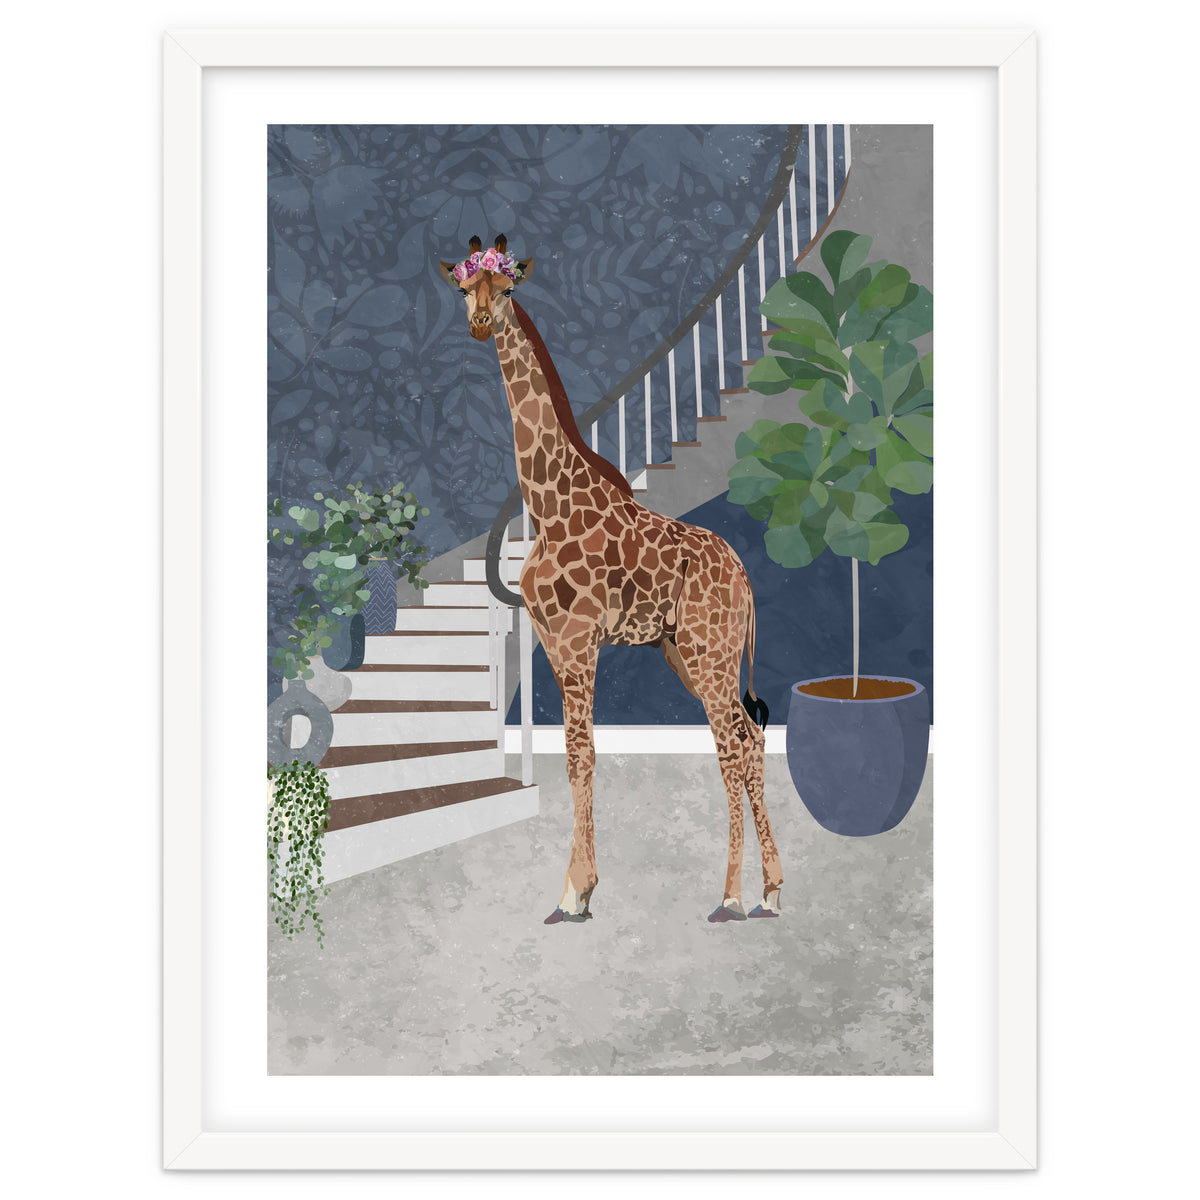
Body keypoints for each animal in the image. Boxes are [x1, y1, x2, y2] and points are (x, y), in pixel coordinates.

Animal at [439, 234, 784, 924]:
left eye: (508, 287)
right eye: (464, 287)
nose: (482, 323)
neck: (547, 504)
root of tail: (744, 575)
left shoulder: (578, 642)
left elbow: (582, 753)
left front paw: (574, 892)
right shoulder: (551, 642)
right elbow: (576, 757)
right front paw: (580, 888)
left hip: (710, 651)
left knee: (733, 746)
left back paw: (731, 895)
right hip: (689, 652)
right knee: (750, 739)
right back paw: (770, 891)